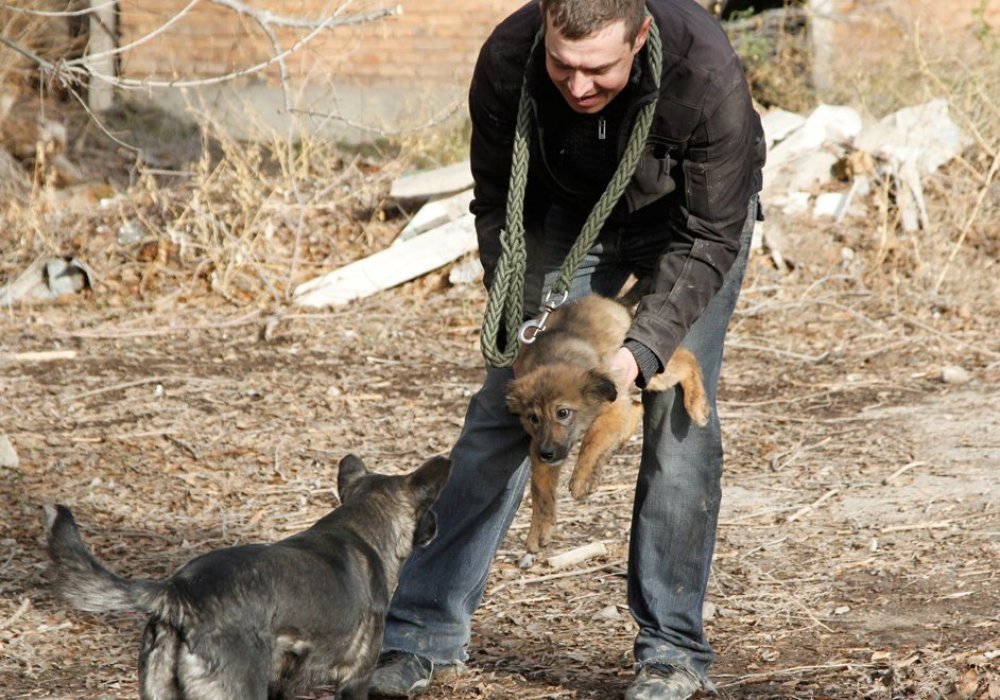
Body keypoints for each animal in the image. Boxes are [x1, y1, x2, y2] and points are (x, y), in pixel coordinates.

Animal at [508, 296, 712, 552]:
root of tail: (613, 302)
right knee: (637, 406)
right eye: (533, 418)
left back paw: (697, 405)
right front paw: (539, 528)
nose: (546, 453)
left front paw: (582, 479)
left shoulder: (611, 405)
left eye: (562, 413)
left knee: (686, 360)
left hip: (647, 369)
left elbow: (592, 440)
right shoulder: (540, 444)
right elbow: (539, 486)